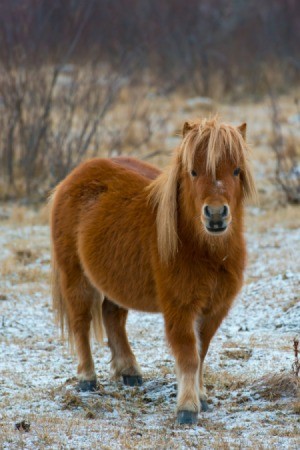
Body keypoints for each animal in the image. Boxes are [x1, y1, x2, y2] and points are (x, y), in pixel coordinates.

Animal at [50, 118, 256, 424]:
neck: (206, 251)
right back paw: (87, 379)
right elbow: (189, 355)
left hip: (116, 280)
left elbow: (202, 353)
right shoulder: (179, 308)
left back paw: (130, 372)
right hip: (76, 277)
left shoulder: (215, 309)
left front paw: (202, 398)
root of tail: (73, 177)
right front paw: (187, 408)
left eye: (236, 170)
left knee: (113, 318)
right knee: (81, 323)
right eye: (193, 171)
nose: (216, 215)